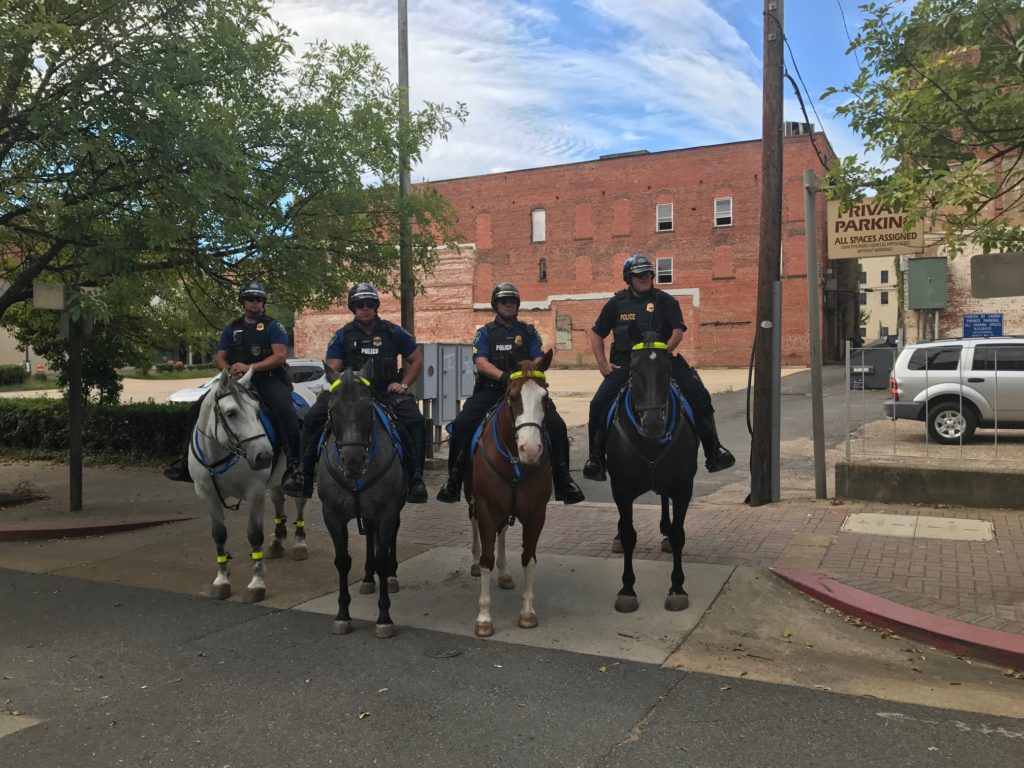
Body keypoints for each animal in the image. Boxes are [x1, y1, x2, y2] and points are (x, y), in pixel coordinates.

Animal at [188, 370, 307, 606]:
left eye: (256, 411)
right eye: (231, 413)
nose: (264, 456)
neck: (219, 454)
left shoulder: (255, 493)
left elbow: (254, 535)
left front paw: (257, 584)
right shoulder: (207, 495)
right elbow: (219, 535)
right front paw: (222, 581)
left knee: (299, 503)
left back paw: (299, 543)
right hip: (276, 480)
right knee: (278, 500)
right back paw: (277, 541)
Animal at [317, 364, 405, 638]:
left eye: (367, 408)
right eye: (332, 409)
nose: (353, 461)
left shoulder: (387, 511)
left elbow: (382, 559)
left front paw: (384, 617)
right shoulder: (332, 515)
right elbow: (343, 561)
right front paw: (342, 614)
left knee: (389, 538)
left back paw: (391, 576)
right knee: (369, 539)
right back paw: (367, 578)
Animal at [468, 348, 557, 638]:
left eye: (545, 397)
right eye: (513, 397)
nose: (530, 450)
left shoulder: (535, 513)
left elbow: (528, 559)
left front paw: (527, 612)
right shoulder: (486, 507)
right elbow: (487, 558)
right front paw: (484, 617)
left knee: (503, 532)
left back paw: (505, 573)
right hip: (473, 499)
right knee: (476, 528)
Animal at [602, 325, 700, 614]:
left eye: (667, 368)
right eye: (634, 370)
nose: (654, 422)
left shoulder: (683, 487)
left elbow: (679, 534)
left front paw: (677, 588)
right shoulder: (621, 489)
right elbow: (628, 534)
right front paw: (627, 589)